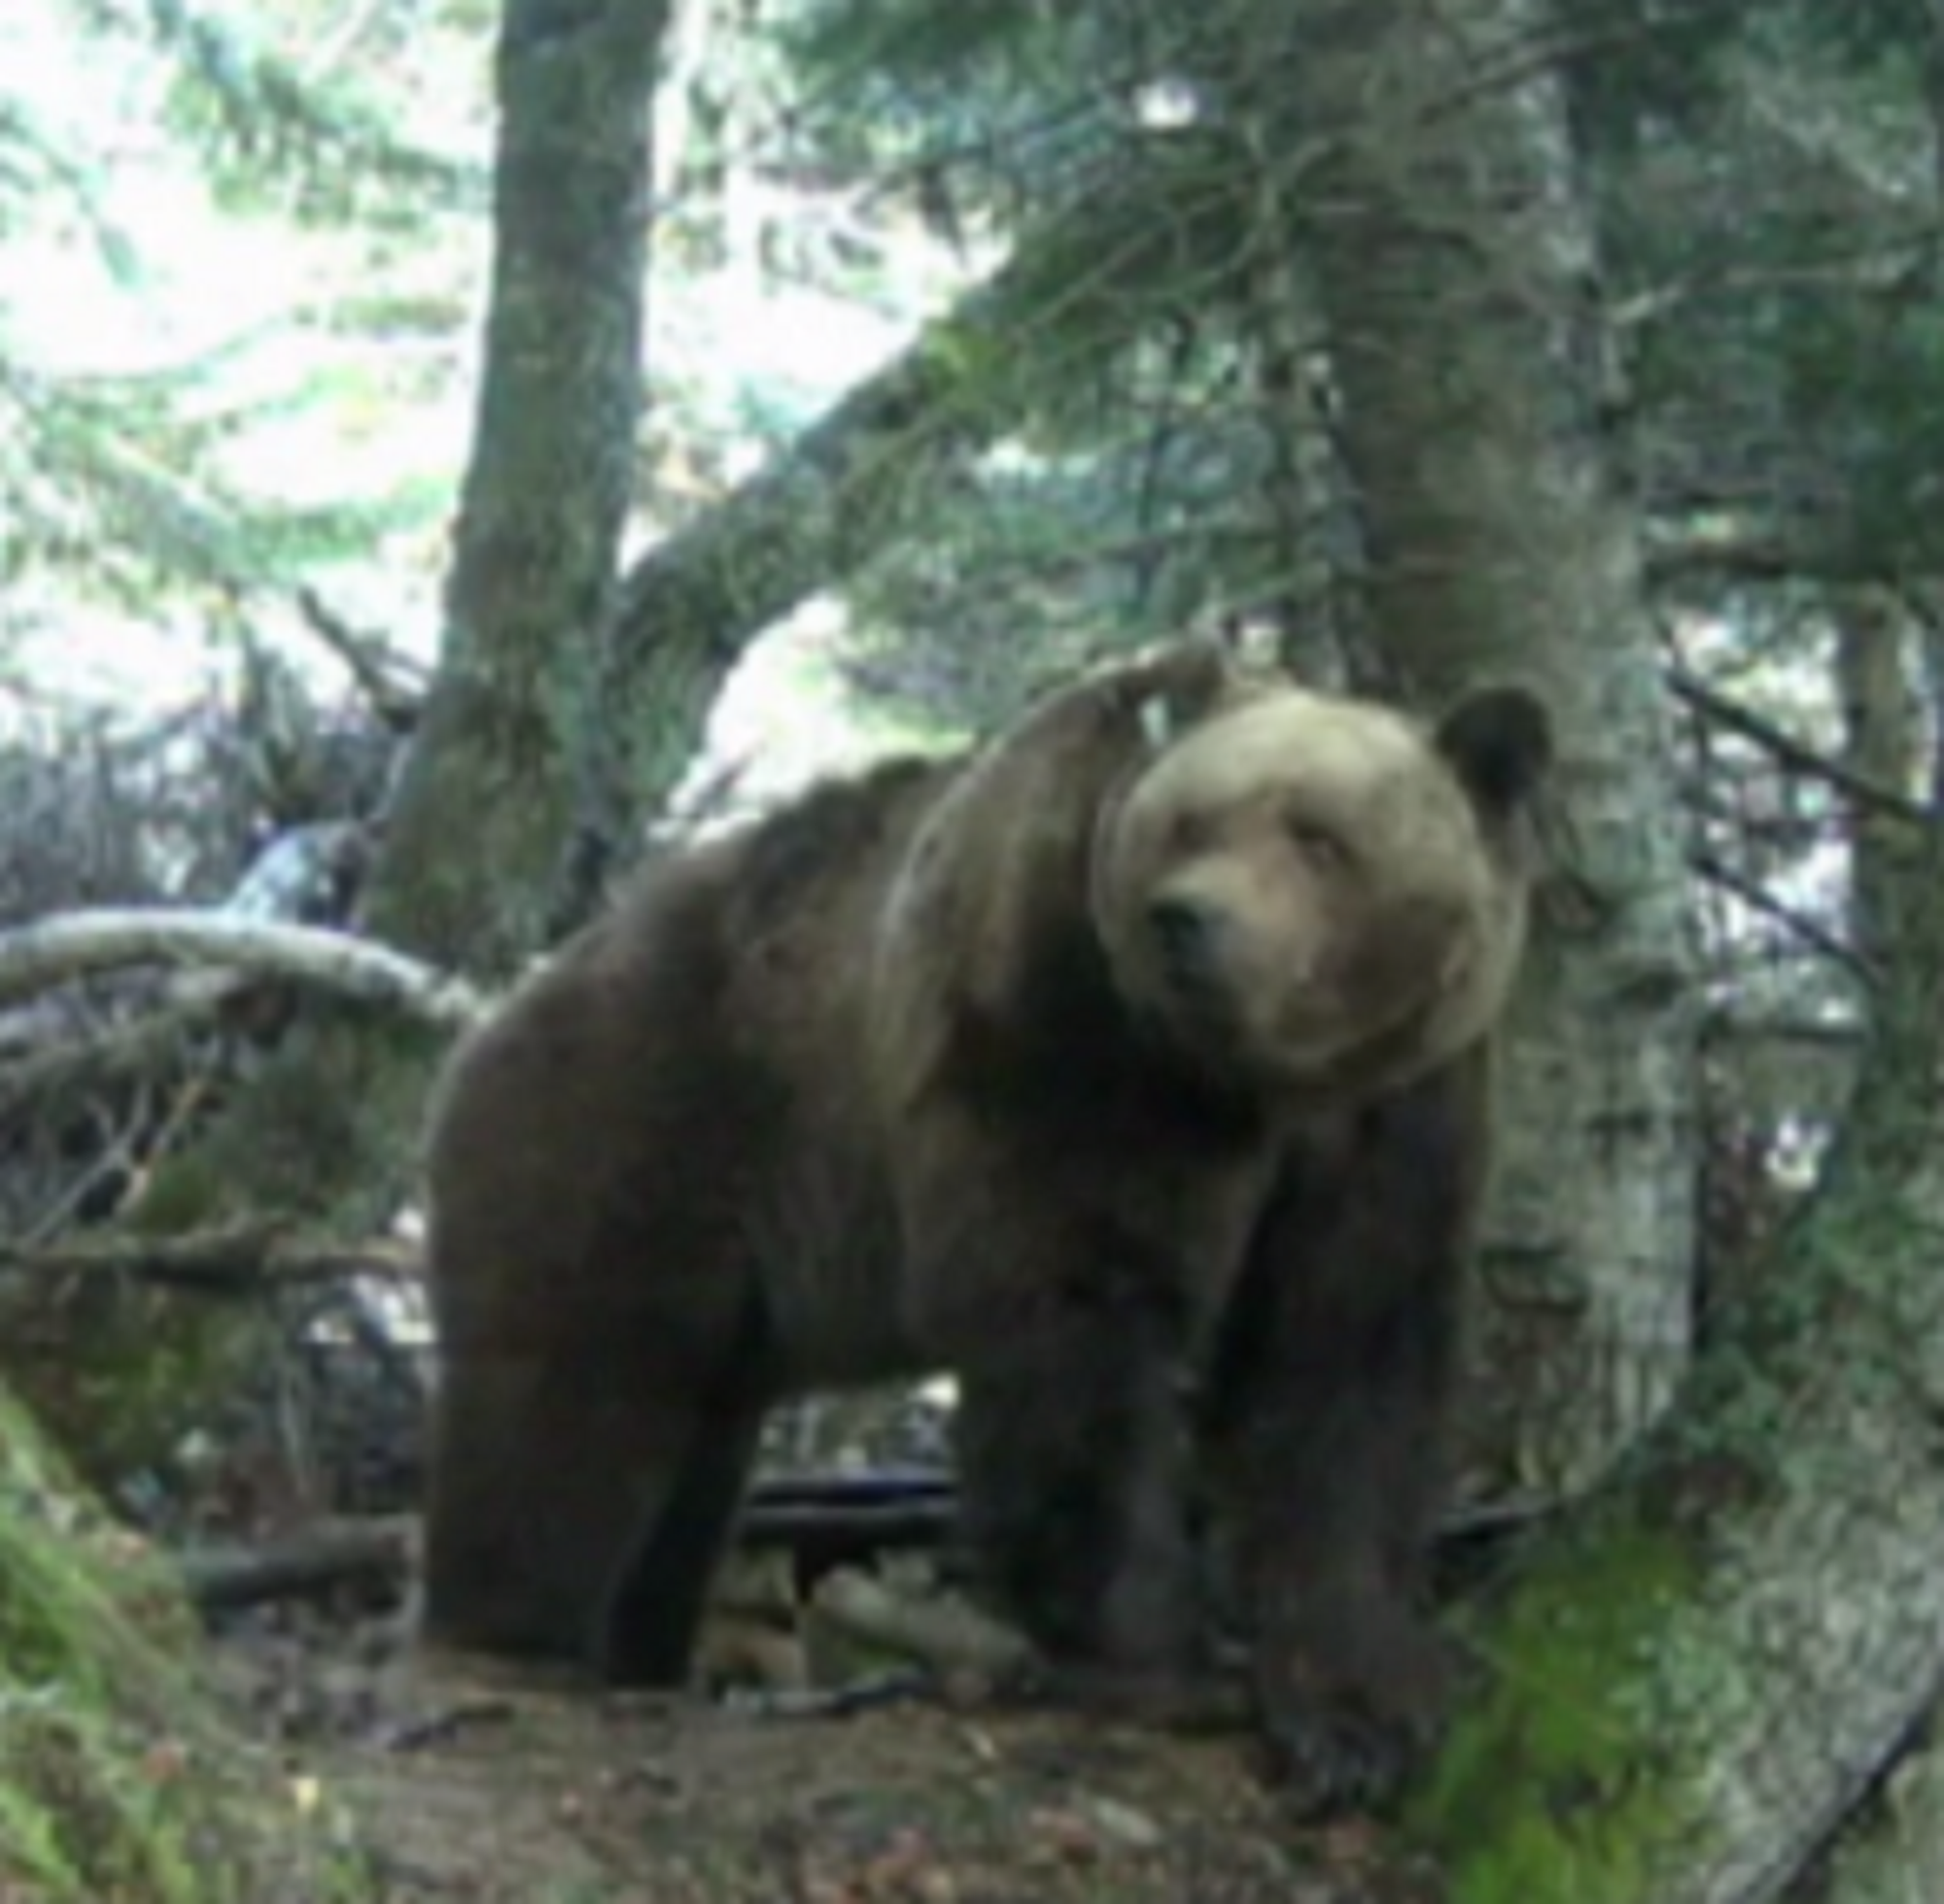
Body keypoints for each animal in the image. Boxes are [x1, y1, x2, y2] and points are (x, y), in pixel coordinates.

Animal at [422, 637, 1547, 1803]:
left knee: (690, 1452)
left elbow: (1345, 1363)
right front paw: (1155, 1657)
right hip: (643, 1124)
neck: (1249, 1083)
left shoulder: (1393, 1110)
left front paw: (1356, 1708)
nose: (1188, 921)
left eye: (1318, 837)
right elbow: (1074, 1317)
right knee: (569, 1390)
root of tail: (495, 1013)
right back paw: (514, 1634)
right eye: (1188, 824)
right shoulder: (1052, 1014)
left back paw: (636, 1646)